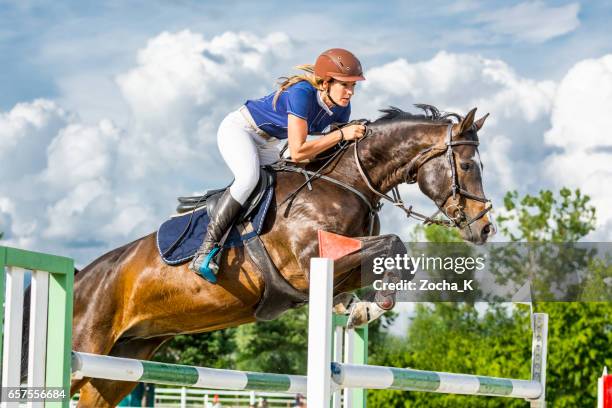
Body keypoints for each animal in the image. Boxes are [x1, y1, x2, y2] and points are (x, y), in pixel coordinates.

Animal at [64, 103, 492, 404]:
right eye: (468, 164)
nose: (485, 227)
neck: (346, 182)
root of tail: (83, 276)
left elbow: (385, 259)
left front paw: (356, 307)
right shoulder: (307, 266)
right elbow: (394, 245)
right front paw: (371, 305)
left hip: (116, 368)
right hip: (86, 350)